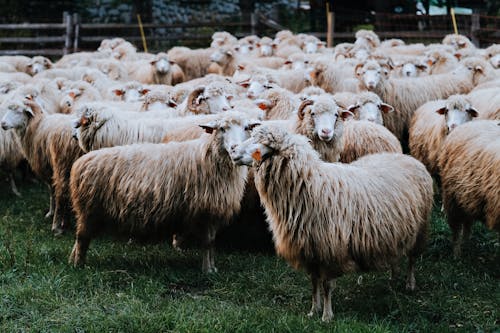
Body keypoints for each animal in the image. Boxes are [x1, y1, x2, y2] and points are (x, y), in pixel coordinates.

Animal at [68, 113, 260, 272]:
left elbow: (211, 243)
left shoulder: (212, 212)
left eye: (247, 128)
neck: (210, 158)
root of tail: (81, 162)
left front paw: (212, 268)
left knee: (79, 237)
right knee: (82, 238)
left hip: (88, 212)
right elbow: (207, 243)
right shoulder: (207, 211)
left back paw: (72, 259)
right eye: (222, 128)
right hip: (89, 209)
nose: (235, 147)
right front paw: (207, 271)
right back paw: (79, 265)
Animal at [234, 124, 434, 320]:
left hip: (420, 227)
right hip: (396, 230)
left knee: (412, 258)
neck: (308, 184)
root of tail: (408, 157)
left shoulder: (330, 248)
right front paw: (313, 310)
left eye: (261, 142)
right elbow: (314, 283)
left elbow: (326, 285)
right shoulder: (310, 248)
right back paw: (393, 280)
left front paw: (326, 316)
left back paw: (410, 284)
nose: (233, 150)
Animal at [440, 120, 498, 256]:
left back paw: (466, 244)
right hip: (453, 198)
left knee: (467, 223)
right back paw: (457, 254)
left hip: (469, 198)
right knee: (456, 228)